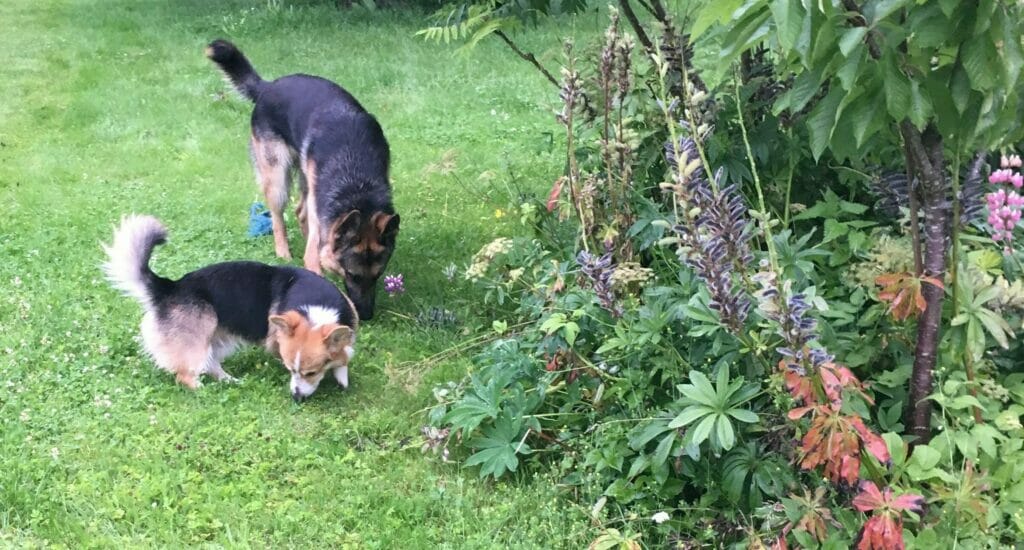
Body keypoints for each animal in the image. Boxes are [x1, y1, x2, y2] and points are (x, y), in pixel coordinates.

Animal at [103, 212, 358, 401]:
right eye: (289, 369)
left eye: (311, 373)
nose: (296, 397)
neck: (316, 311)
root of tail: (169, 287)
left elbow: (345, 352)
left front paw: (341, 374)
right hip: (199, 337)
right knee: (186, 374)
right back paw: (203, 390)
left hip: (218, 338)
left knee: (211, 364)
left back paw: (230, 381)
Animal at [205, 39, 397, 321]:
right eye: (350, 274)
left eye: (378, 275)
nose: (366, 315)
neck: (356, 183)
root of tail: (269, 86)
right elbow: (314, 259)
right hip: (278, 179)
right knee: (279, 217)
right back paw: (283, 251)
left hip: (306, 177)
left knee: (300, 211)